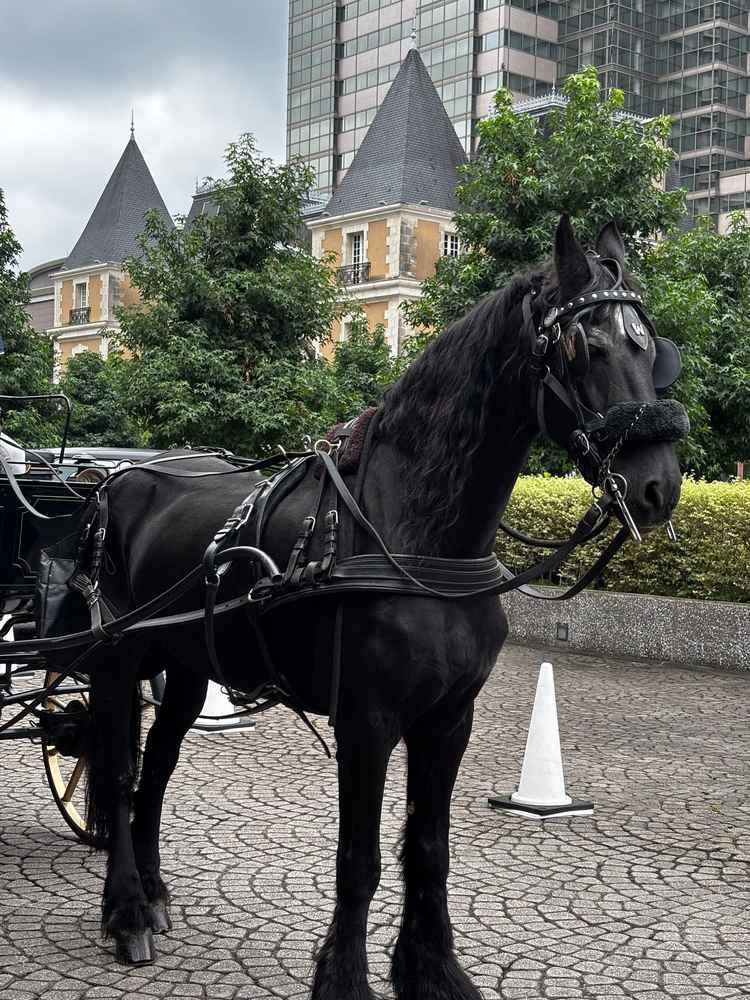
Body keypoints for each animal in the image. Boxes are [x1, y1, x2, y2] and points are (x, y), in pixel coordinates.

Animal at [55, 216, 684, 1000]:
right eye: (585, 347)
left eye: (649, 347)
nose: (659, 485)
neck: (418, 533)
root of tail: (115, 479)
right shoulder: (368, 721)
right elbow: (359, 861)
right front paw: (346, 979)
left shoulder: (448, 720)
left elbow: (429, 849)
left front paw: (433, 970)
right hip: (117, 660)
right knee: (115, 773)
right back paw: (127, 911)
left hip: (189, 666)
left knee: (159, 769)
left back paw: (154, 889)